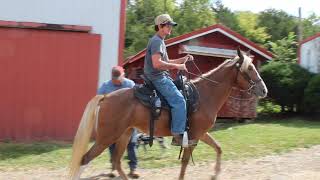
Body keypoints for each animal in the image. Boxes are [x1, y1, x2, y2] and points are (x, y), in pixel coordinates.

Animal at [69, 48, 268, 179]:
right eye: (250, 69)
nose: (264, 89)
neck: (205, 94)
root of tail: (106, 97)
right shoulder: (193, 136)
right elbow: (185, 162)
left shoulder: (200, 133)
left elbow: (218, 147)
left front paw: (215, 174)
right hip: (107, 137)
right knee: (85, 159)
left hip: (124, 134)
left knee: (116, 162)